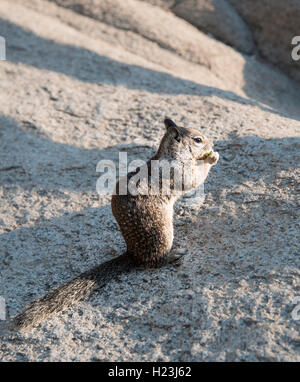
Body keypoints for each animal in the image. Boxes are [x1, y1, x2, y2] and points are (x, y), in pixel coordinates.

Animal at [12, 118, 219, 332]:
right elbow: (194, 179)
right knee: (152, 263)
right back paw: (174, 255)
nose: (212, 144)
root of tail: (132, 253)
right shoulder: (177, 170)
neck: (171, 153)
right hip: (162, 235)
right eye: (198, 139)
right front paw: (212, 158)